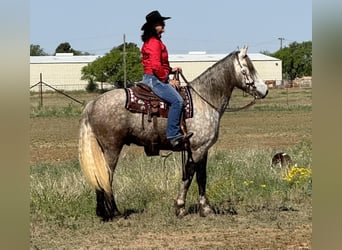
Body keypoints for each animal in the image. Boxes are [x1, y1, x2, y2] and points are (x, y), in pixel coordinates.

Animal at [79, 46, 268, 221]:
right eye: (247, 69)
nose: (265, 90)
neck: (204, 99)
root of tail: (93, 103)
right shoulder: (197, 149)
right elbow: (189, 176)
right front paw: (181, 208)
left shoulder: (203, 150)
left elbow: (202, 177)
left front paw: (205, 209)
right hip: (112, 148)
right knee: (106, 177)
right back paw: (115, 213)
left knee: (99, 176)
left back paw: (102, 213)